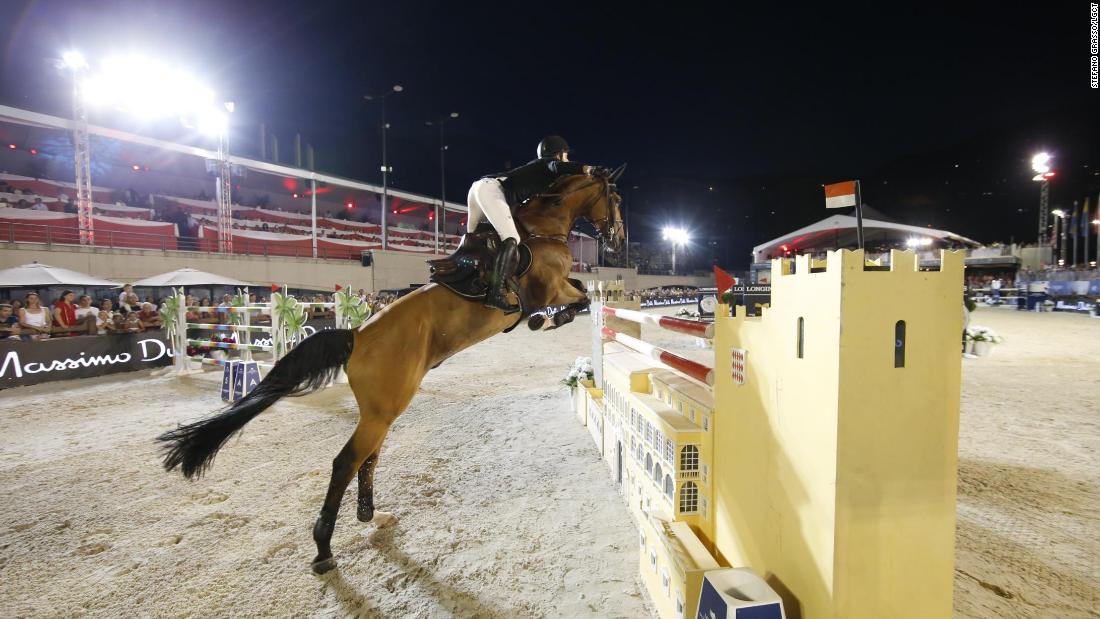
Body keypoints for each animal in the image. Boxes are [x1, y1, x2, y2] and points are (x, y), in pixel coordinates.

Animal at [155, 170, 624, 576]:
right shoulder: (550, 287)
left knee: (369, 457)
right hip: (385, 407)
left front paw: (548, 320)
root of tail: (356, 336)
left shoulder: (560, 284)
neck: (544, 228)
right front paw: (542, 321)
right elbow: (580, 298)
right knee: (345, 462)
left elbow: (583, 294)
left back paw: (369, 514)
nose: (617, 241)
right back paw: (323, 549)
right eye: (616, 198)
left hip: (383, 409)